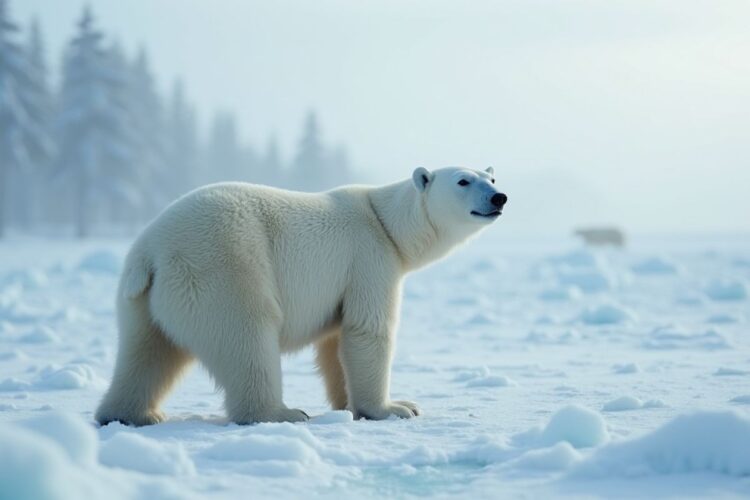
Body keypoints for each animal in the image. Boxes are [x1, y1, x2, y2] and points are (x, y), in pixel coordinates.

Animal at [95, 166, 507, 426]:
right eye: (463, 180)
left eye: (491, 176)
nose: (499, 197)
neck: (386, 223)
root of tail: (151, 252)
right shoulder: (368, 258)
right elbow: (367, 330)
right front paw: (396, 407)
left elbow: (334, 344)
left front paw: (349, 404)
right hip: (224, 267)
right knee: (247, 336)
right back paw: (281, 413)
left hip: (142, 300)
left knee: (148, 351)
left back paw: (132, 414)